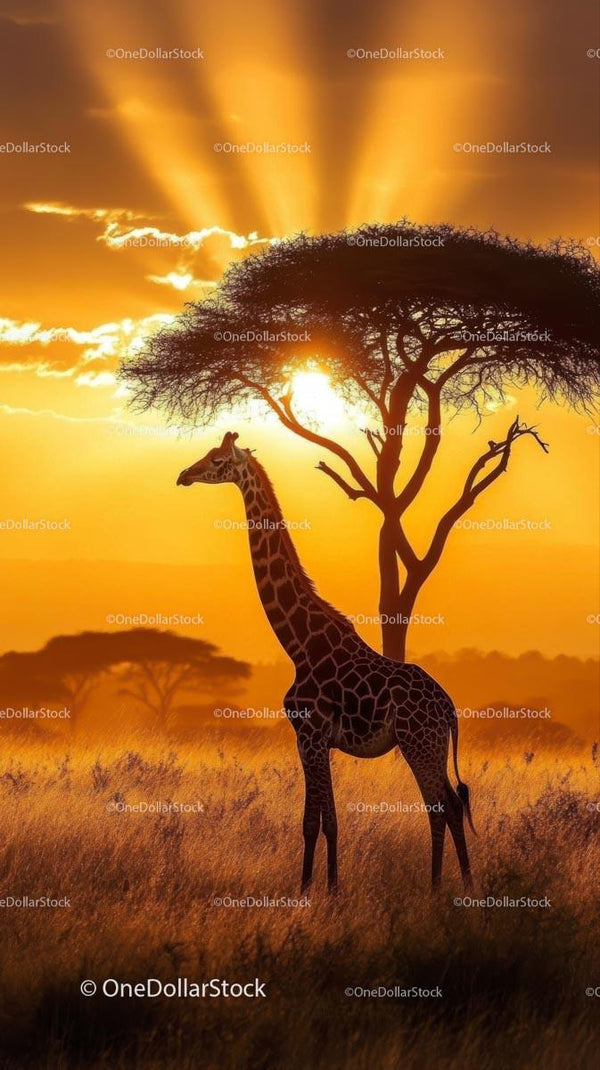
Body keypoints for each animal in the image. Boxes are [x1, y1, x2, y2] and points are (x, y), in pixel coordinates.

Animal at [177, 431, 474, 893]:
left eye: (217, 459)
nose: (184, 475)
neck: (298, 644)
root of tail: (448, 708)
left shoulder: (311, 734)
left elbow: (320, 822)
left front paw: (322, 891)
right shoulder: (310, 740)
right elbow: (317, 820)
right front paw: (317, 886)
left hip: (418, 742)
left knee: (439, 806)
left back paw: (437, 888)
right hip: (431, 744)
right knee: (453, 803)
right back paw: (464, 886)